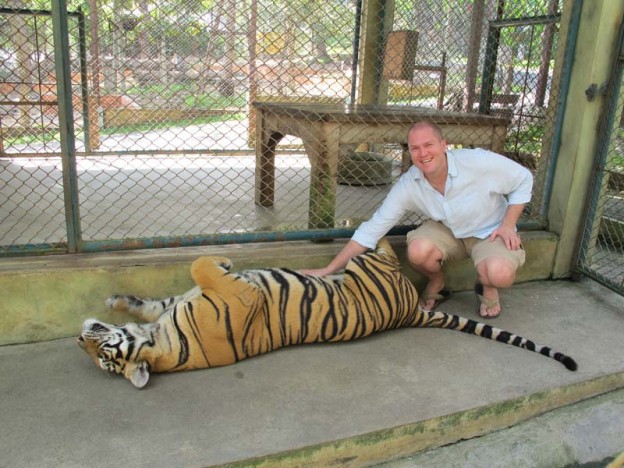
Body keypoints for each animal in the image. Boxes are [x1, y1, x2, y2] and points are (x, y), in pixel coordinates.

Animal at [79, 238, 580, 388]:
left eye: (96, 349)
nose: (80, 334)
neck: (160, 345)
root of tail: (411, 311)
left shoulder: (177, 304)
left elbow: (161, 293)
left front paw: (113, 300)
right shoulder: (234, 298)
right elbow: (200, 266)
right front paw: (223, 260)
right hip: (372, 268)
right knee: (380, 244)